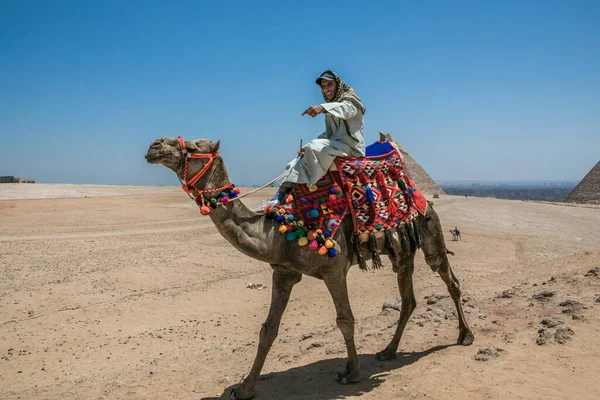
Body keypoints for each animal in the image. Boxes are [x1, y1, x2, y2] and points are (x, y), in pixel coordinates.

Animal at [145, 136, 474, 398]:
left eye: (194, 146)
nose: (154, 145)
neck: (279, 230)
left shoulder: (334, 270)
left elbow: (345, 320)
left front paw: (352, 373)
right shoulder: (283, 272)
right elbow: (268, 329)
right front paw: (245, 388)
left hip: (430, 231)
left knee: (450, 280)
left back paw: (465, 336)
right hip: (401, 251)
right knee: (408, 298)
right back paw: (389, 351)